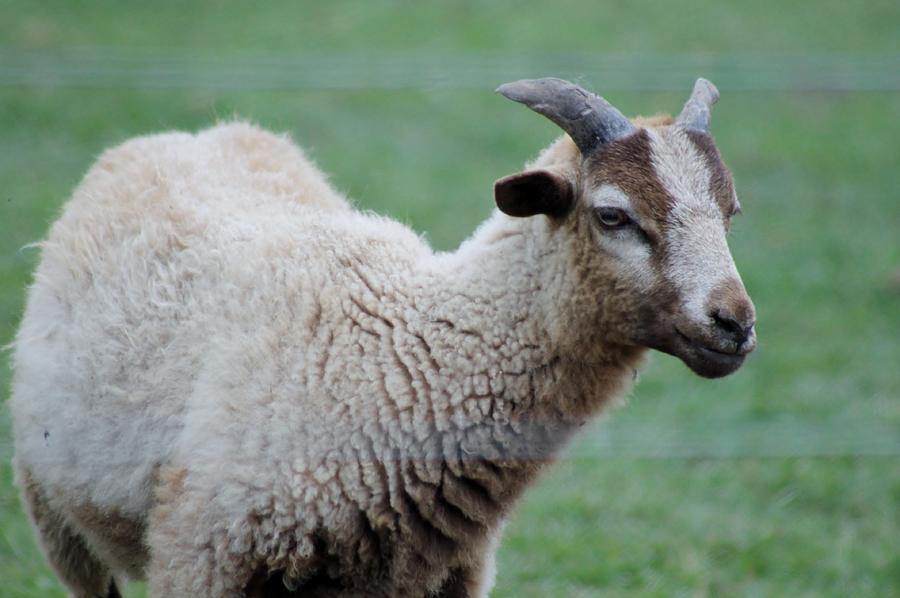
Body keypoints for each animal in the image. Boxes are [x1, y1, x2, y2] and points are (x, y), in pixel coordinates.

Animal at [10, 77, 756, 596]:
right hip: (57, 522)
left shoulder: (446, 575)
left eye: (729, 212)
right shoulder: (201, 556)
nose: (736, 323)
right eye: (611, 215)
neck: (409, 353)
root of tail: (181, 136)